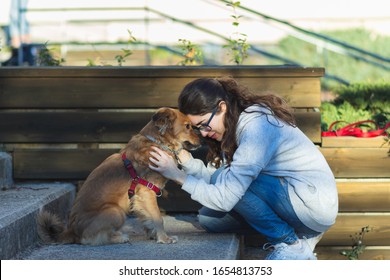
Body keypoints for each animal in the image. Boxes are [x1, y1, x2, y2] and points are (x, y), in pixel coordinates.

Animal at [37, 107, 201, 245]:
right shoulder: (147, 192)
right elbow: (157, 218)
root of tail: (72, 231)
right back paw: (119, 237)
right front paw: (164, 238)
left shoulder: (139, 198)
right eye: (188, 126)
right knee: (89, 240)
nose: (201, 140)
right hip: (116, 212)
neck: (157, 142)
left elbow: (147, 218)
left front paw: (153, 235)